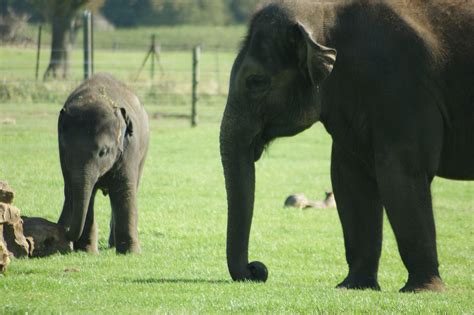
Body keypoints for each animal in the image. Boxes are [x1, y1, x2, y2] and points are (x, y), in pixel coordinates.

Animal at [58, 73, 149, 254]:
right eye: (67, 151)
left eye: (104, 152)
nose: (65, 231)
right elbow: (81, 191)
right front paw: (86, 251)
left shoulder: (130, 148)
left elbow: (124, 190)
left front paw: (131, 252)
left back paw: (114, 244)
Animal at [219, 0, 474, 292]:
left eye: (255, 82)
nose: (257, 269)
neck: (324, 13)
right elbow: (348, 178)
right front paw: (353, 286)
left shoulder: (404, 89)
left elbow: (400, 173)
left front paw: (421, 290)